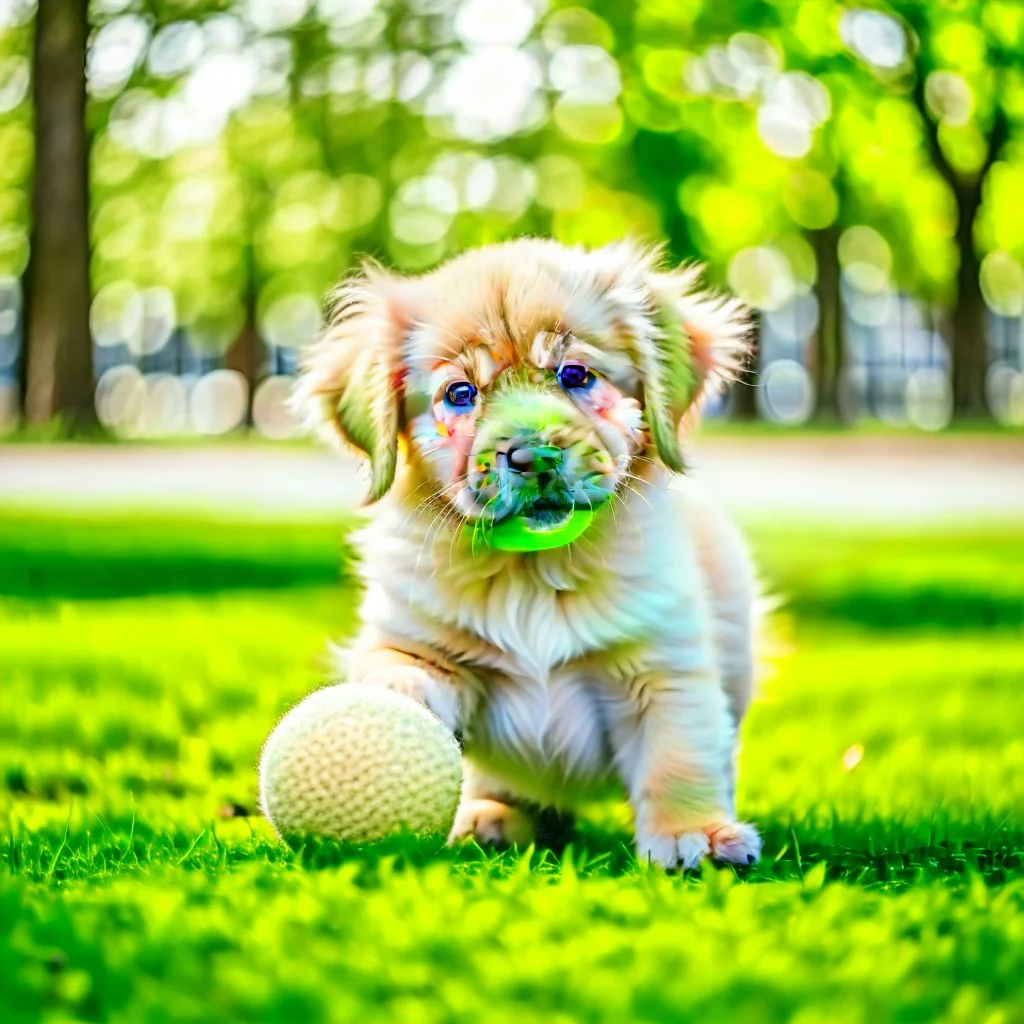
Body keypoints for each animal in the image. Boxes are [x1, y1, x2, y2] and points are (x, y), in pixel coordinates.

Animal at [296, 241, 761, 872]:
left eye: (575, 374)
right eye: (460, 393)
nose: (532, 455)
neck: (534, 574)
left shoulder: (664, 669)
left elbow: (678, 756)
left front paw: (695, 833)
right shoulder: (418, 640)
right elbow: (395, 663)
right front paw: (394, 701)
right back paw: (492, 816)